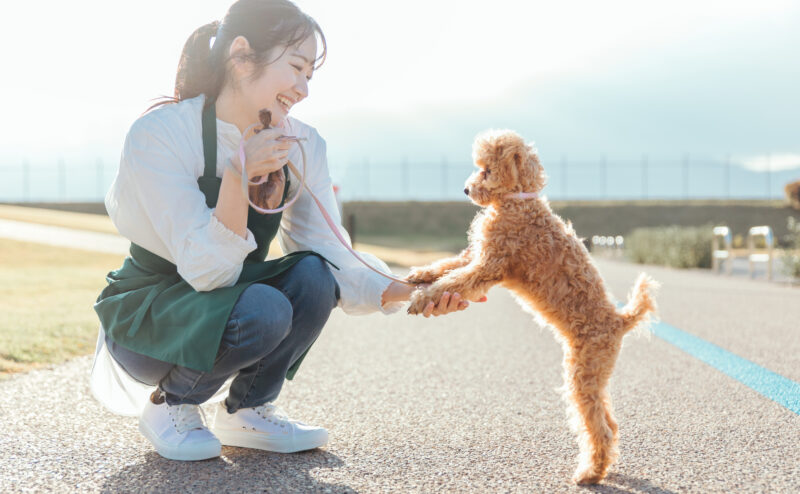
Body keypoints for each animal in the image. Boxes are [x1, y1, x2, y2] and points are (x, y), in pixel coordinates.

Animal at [406, 129, 656, 484]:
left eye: (486, 170)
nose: (466, 190)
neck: (516, 201)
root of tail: (620, 321)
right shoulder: (477, 255)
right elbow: (448, 265)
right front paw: (420, 275)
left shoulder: (490, 264)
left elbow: (454, 280)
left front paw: (422, 298)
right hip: (595, 375)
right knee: (610, 422)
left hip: (584, 372)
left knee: (599, 428)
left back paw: (589, 473)